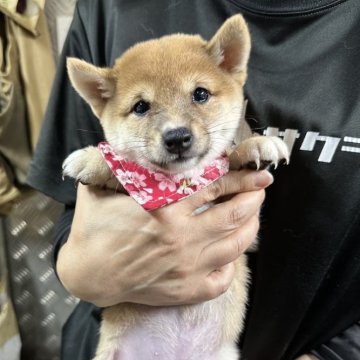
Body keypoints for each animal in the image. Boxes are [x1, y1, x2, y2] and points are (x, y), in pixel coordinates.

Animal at [63, 14, 288, 360]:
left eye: (200, 94)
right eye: (141, 107)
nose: (177, 137)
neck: (182, 184)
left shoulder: (247, 235)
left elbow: (229, 159)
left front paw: (253, 146)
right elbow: (126, 167)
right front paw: (95, 159)